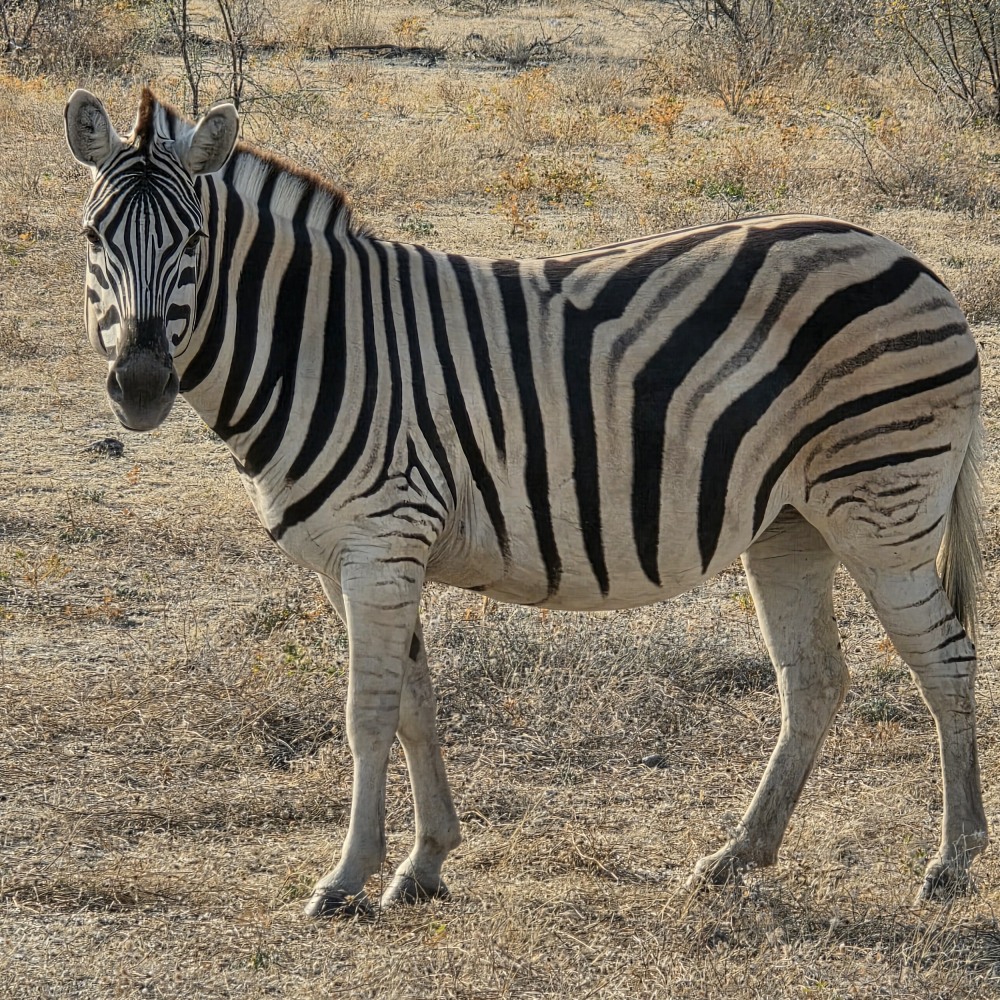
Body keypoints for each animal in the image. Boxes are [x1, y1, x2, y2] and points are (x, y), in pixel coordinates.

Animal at [65, 87, 987, 917]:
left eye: (192, 240)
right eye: (91, 237)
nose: (140, 385)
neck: (320, 342)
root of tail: (912, 261)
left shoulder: (382, 539)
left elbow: (369, 713)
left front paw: (348, 877)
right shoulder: (353, 558)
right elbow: (415, 704)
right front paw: (426, 864)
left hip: (881, 508)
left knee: (945, 658)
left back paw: (951, 863)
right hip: (792, 525)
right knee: (815, 679)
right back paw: (734, 859)